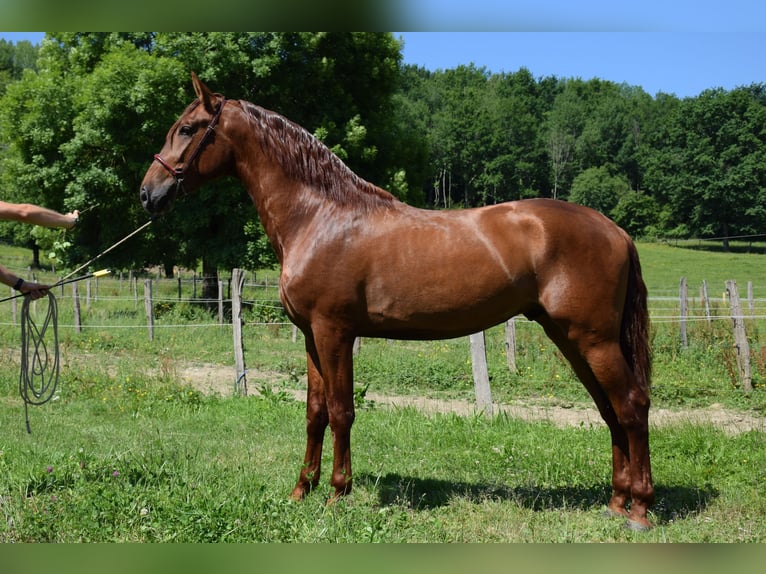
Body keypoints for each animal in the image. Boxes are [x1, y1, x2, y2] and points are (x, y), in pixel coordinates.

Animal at [140, 74, 656, 532]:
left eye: (187, 128)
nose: (148, 193)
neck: (320, 216)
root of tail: (615, 230)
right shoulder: (310, 336)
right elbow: (314, 412)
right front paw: (301, 490)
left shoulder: (334, 332)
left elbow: (342, 411)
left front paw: (337, 493)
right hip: (571, 338)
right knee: (609, 409)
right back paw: (615, 502)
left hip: (594, 340)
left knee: (631, 405)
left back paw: (639, 510)